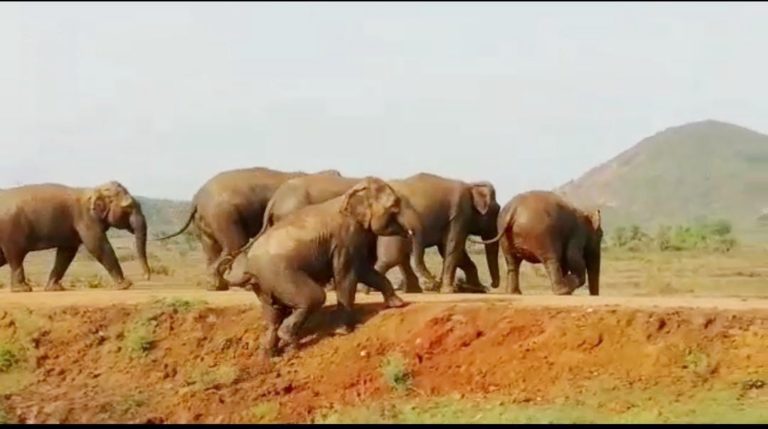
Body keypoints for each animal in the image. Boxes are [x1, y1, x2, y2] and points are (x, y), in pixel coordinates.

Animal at [0, 181, 150, 292]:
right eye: (128, 207)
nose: (146, 277)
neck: (93, 190)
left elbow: (67, 253)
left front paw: (54, 288)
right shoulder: (86, 219)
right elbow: (98, 246)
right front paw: (125, 285)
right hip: (11, 231)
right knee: (16, 257)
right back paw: (22, 289)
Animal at [155, 166, 340, 291]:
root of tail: (196, 200)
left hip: (207, 222)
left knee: (212, 249)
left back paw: (215, 285)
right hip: (223, 215)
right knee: (234, 245)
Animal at [219, 177, 420, 357]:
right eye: (395, 207)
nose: (410, 233)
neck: (350, 195)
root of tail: (249, 266)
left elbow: (364, 271)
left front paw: (399, 304)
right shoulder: (345, 238)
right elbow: (347, 275)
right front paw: (343, 332)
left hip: (265, 285)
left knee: (273, 315)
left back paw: (269, 355)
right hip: (280, 274)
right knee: (314, 297)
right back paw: (288, 341)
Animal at [364, 173, 501, 294]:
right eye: (496, 211)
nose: (492, 285)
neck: (471, 185)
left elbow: (450, 249)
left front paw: (477, 289)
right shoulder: (460, 214)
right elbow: (453, 246)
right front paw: (448, 291)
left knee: (398, 258)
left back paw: (412, 291)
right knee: (391, 259)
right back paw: (366, 290)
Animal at [471, 190, 603, 296]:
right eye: (601, 235)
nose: (594, 295)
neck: (585, 213)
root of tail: (514, 209)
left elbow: (566, 262)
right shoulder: (577, 235)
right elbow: (572, 259)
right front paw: (568, 289)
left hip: (505, 234)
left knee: (512, 262)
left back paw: (514, 293)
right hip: (542, 235)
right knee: (551, 259)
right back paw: (561, 291)